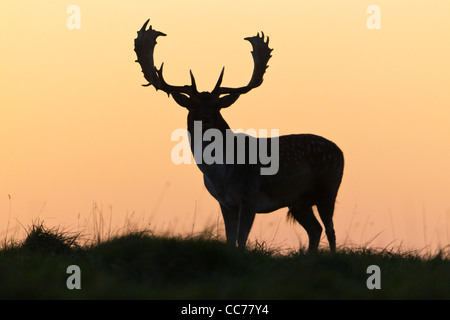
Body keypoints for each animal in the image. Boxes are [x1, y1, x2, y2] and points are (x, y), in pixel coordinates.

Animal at [134, 19, 344, 252]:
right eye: (193, 105)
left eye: (217, 106)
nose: (206, 119)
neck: (222, 176)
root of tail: (340, 151)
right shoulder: (225, 203)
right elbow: (230, 239)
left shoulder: (250, 196)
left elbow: (242, 240)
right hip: (299, 201)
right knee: (315, 229)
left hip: (328, 187)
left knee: (330, 229)